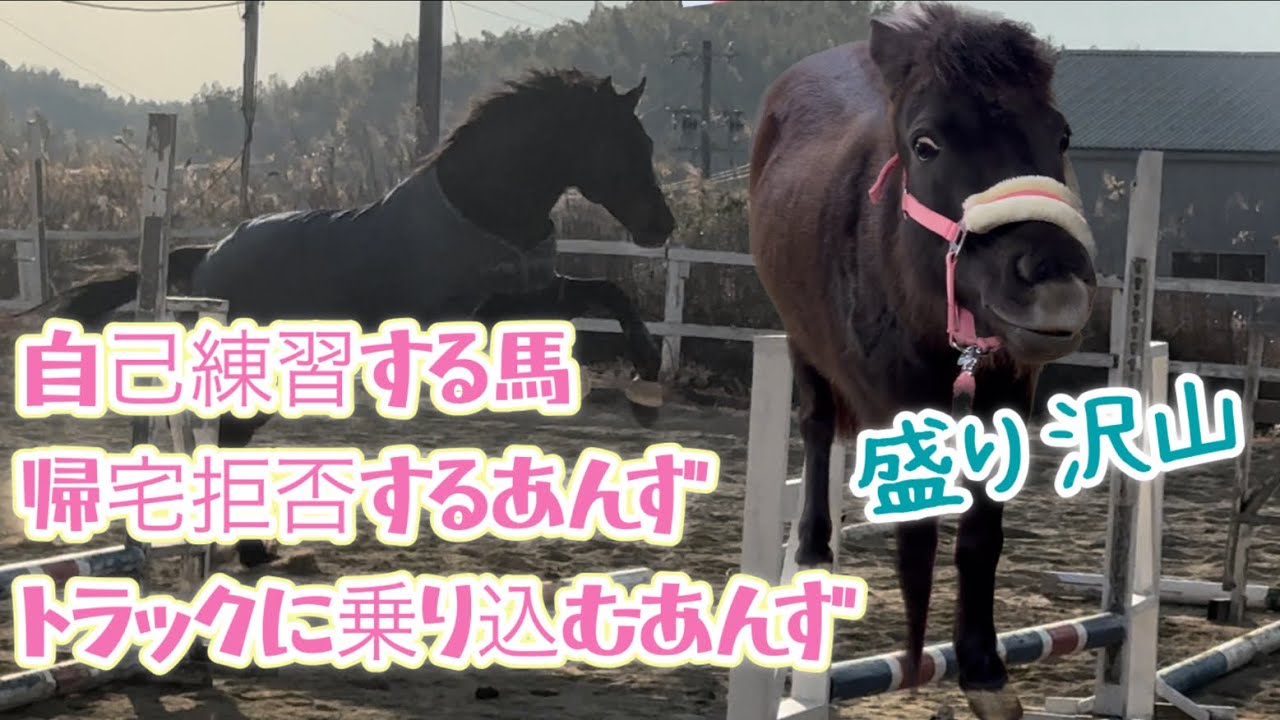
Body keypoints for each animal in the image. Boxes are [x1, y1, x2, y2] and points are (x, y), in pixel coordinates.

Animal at [56, 68, 677, 570]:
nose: (662, 226)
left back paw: (253, 549)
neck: (482, 208)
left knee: (232, 442)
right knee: (226, 439)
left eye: (647, 141)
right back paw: (246, 547)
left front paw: (647, 381)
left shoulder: (535, 291)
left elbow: (610, 293)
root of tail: (209, 253)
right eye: (618, 142)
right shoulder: (476, 316)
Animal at [748, 4, 1098, 718]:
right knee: (817, 427)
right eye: (925, 144)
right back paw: (815, 550)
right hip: (800, 342)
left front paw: (983, 668)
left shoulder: (1005, 393)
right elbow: (918, 532)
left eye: (1061, 135)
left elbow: (980, 535)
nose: (1055, 279)